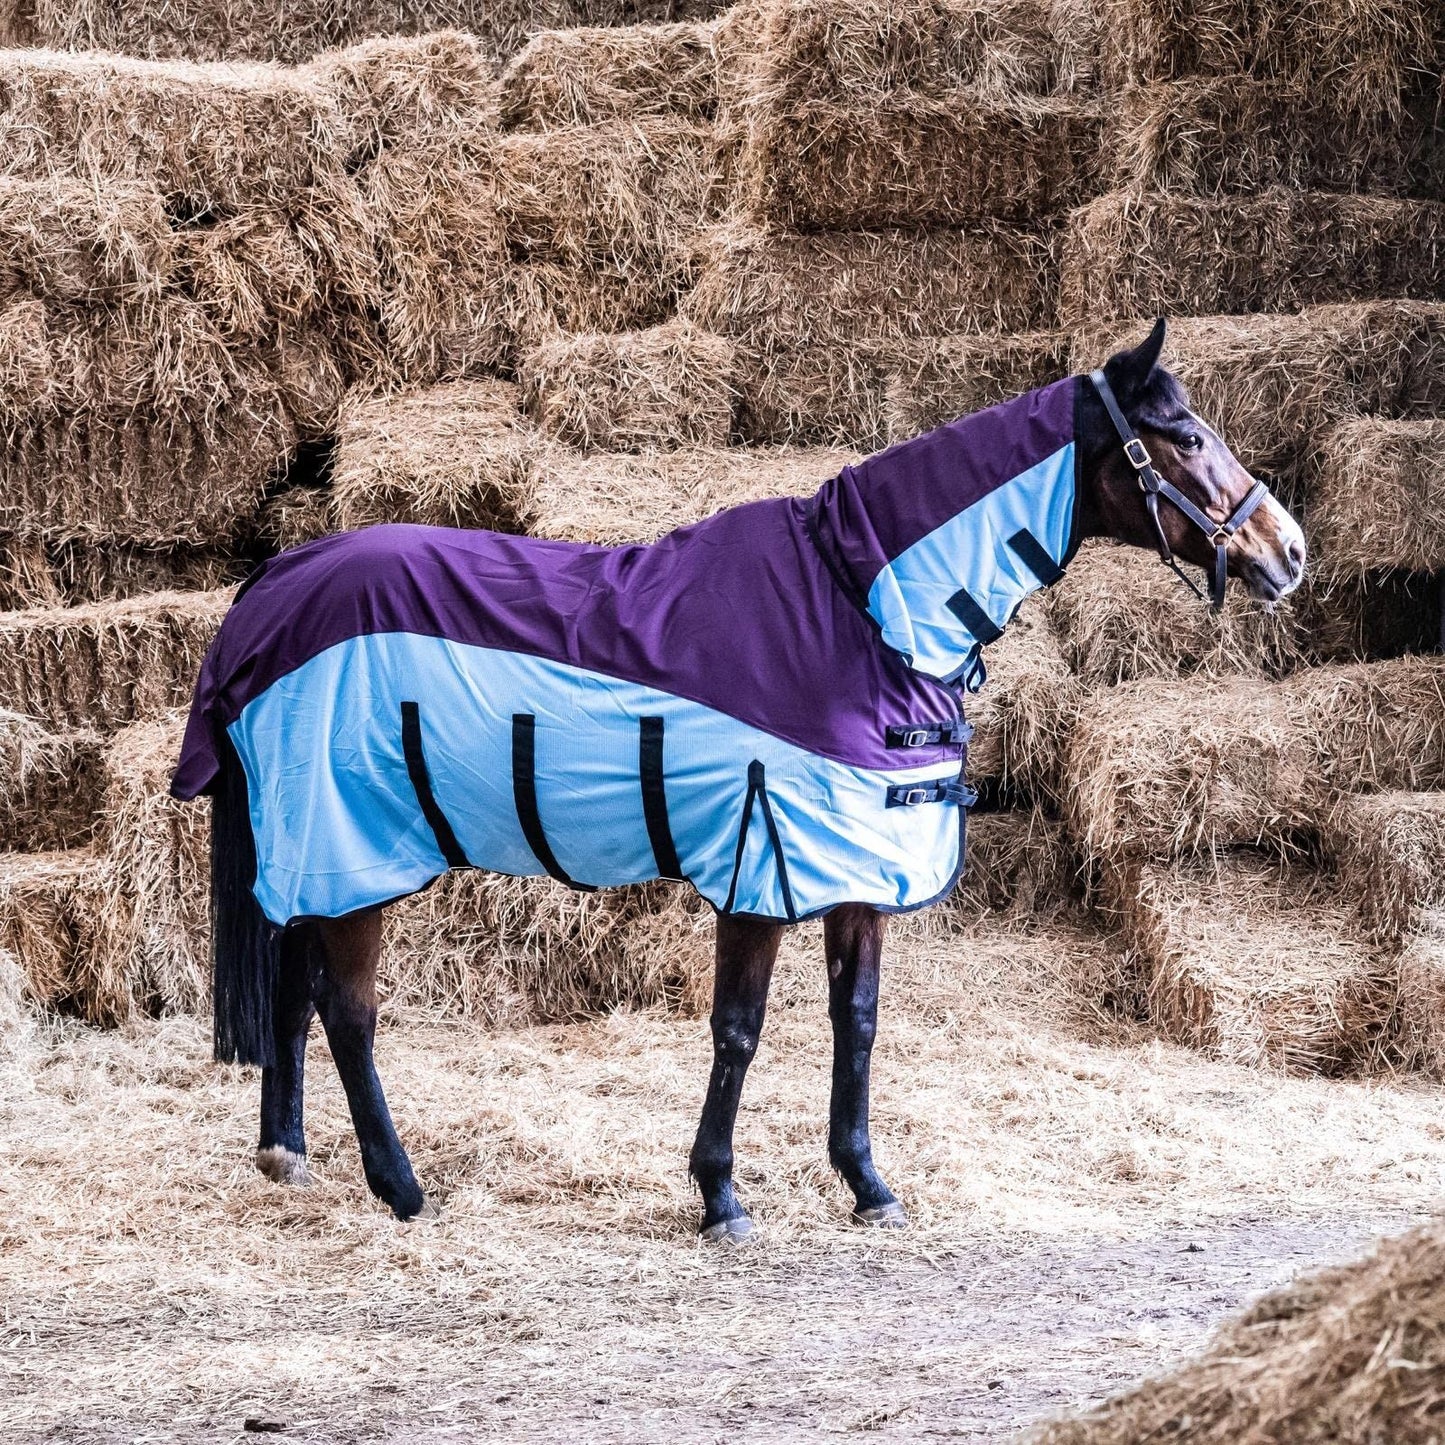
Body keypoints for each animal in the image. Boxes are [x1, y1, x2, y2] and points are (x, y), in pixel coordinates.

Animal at [171, 319, 1306, 1239]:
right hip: (354, 842)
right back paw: (400, 1186)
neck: (853, 608)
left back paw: (287, 1154)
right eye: (1183, 436)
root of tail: (272, 586)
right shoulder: (762, 863)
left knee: (292, 983)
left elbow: (856, 1023)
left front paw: (866, 1183)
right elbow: (740, 1028)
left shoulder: (859, 868)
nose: (1287, 550)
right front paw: (719, 1193)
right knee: (349, 1010)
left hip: (315, 846)